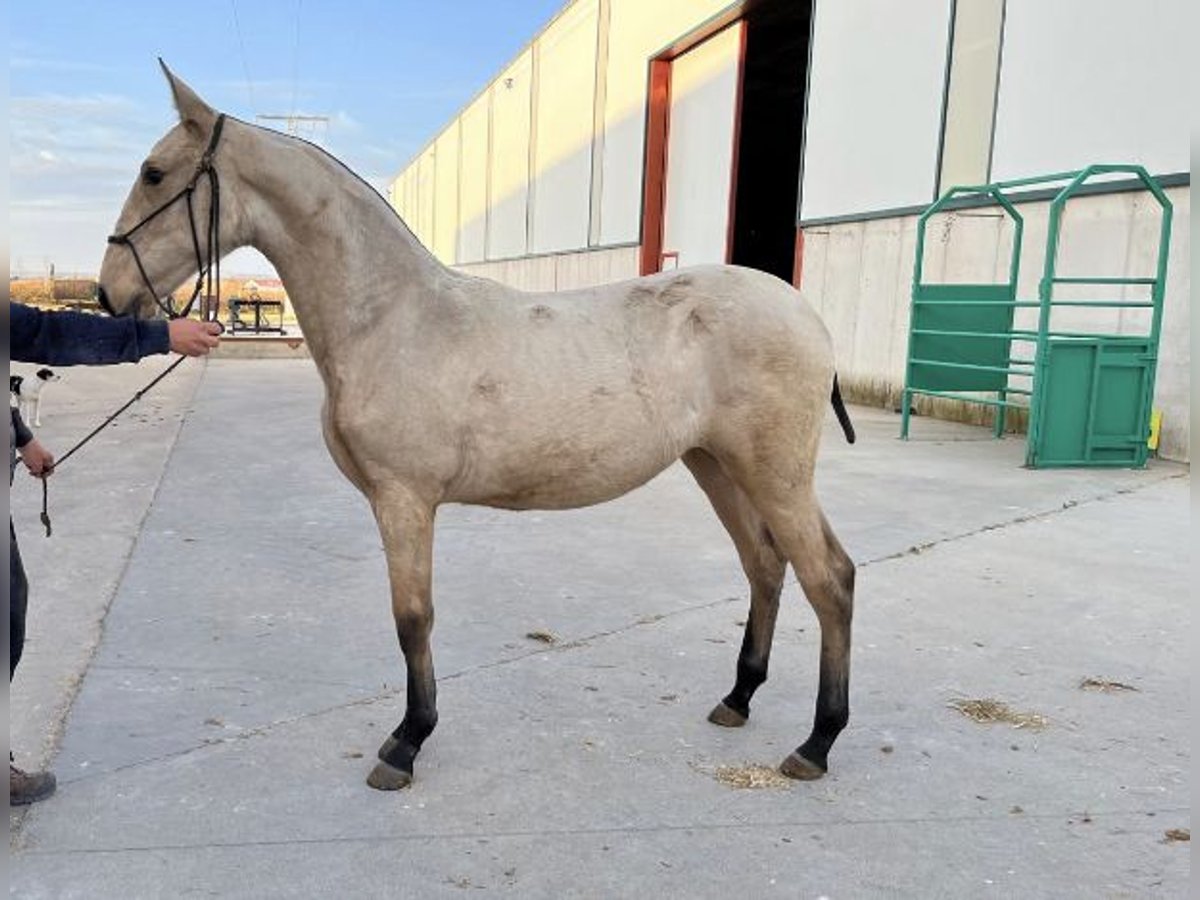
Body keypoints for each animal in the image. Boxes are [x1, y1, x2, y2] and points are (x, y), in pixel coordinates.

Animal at [98, 63, 859, 792]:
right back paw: (738, 698)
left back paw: (817, 743)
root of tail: (806, 312)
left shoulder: (403, 499)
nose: (109, 293)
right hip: (716, 465)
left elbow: (412, 618)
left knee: (830, 578)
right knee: (765, 565)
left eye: (154, 173)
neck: (391, 315)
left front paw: (406, 744)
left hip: (775, 474)